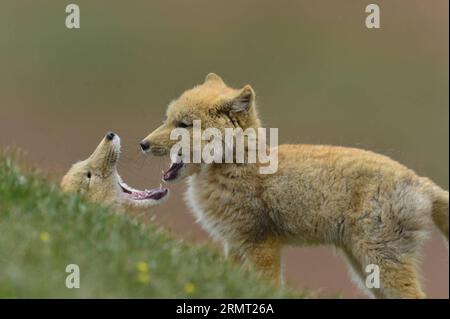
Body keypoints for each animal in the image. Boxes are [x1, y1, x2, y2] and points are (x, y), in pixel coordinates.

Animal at [140, 74, 446, 298]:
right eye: (167, 119)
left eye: (183, 124)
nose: (142, 144)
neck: (239, 166)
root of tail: (422, 182)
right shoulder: (234, 244)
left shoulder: (261, 243)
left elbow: (268, 287)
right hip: (366, 270)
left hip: (381, 263)